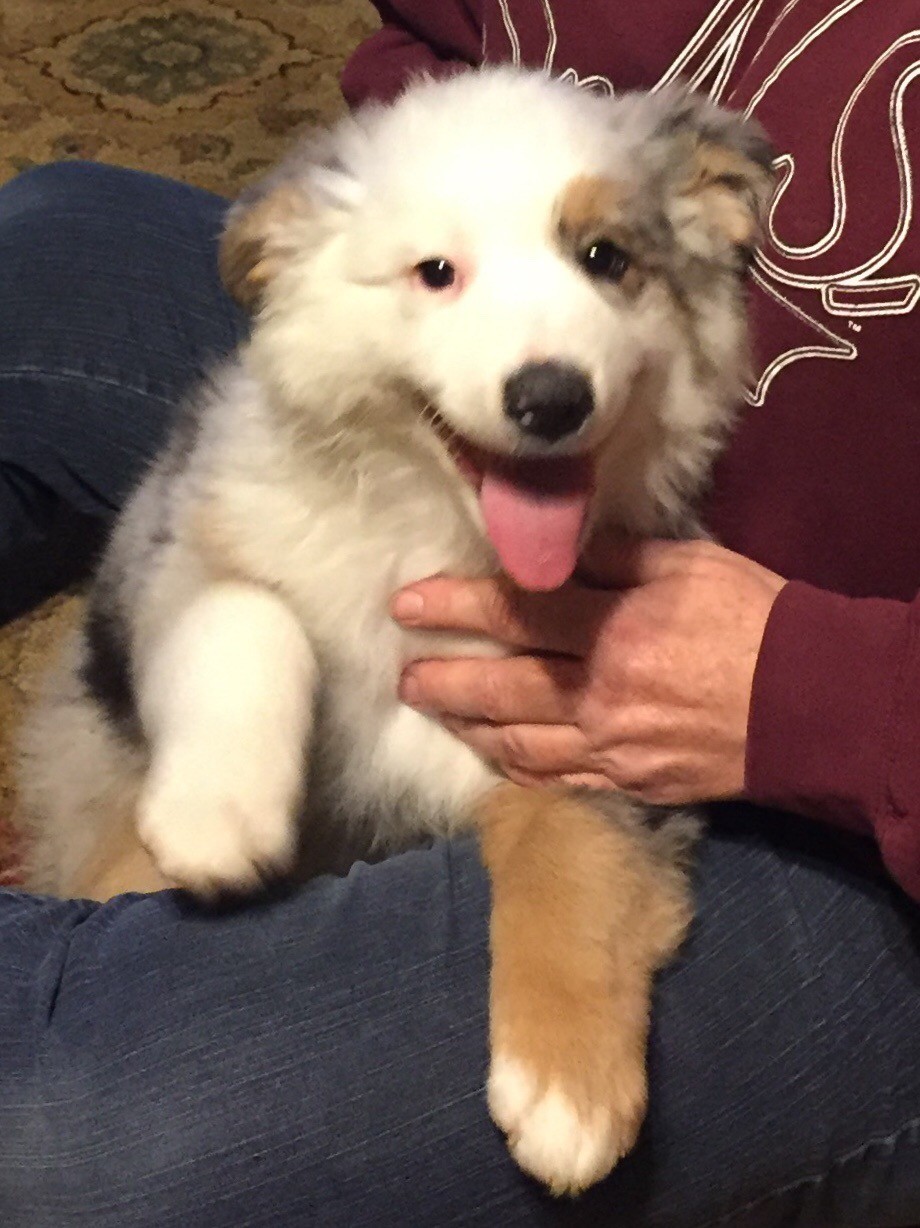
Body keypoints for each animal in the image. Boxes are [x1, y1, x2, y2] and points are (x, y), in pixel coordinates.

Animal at [17, 69, 771, 1198]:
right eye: (435, 273)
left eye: (606, 258)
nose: (550, 398)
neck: (435, 536)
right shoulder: (170, 541)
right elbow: (247, 609)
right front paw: (217, 813)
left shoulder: (600, 732)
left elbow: (575, 847)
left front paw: (567, 1089)